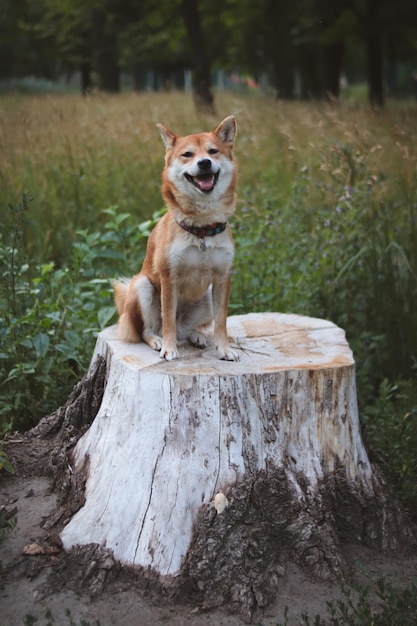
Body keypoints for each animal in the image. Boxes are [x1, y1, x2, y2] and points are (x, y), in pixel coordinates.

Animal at [113, 116, 237, 360]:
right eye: (187, 154)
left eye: (213, 151)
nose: (204, 163)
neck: (202, 229)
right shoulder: (169, 277)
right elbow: (168, 318)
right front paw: (170, 349)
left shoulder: (222, 278)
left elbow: (221, 323)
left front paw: (225, 348)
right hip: (142, 286)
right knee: (148, 329)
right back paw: (157, 341)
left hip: (207, 296)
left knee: (188, 329)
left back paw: (197, 337)